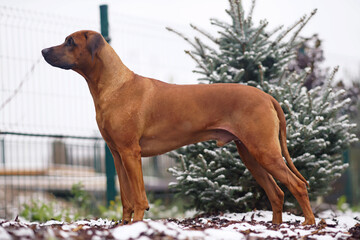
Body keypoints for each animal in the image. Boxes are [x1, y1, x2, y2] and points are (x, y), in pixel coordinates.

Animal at [41, 30, 316, 225]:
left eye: (70, 42)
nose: (43, 50)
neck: (115, 86)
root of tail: (267, 96)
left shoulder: (131, 153)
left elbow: (139, 197)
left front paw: (136, 225)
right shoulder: (117, 155)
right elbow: (126, 198)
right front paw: (123, 225)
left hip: (264, 151)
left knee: (297, 185)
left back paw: (309, 224)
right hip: (250, 154)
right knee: (276, 192)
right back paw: (276, 226)